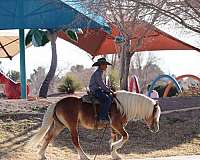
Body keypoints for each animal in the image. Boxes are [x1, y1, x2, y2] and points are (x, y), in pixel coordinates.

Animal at [28, 90, 161, 159]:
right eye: (155, 114)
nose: (156, 129)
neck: (122, 106)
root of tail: (57, 103)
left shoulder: (113, 127)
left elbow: (115, 137)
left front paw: (114, 153)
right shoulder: (117, 125)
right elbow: (126, 136)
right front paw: (114, 148)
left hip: (59, 125)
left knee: (49, 137)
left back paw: (42, 155)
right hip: (72, 125)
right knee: (75, 141)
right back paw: (84, 156)